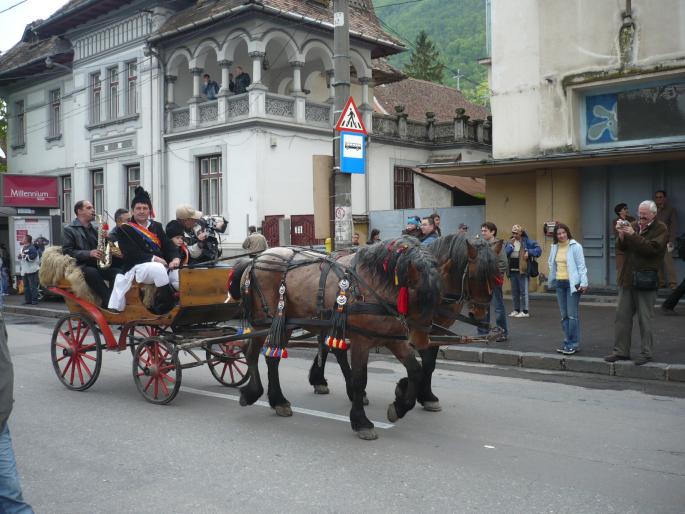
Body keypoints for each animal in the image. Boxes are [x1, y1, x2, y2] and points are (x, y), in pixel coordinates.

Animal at [230, 234, 440, 438]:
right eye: (417, 297)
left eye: (436, 299)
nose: (423, 342)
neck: (372, 285)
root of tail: (255, 259)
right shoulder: (361, 341)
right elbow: (359, 379)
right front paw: (361, 422)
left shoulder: (391, 339)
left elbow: (415, 370)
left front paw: (400, 406)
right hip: (263, 322)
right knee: (250, 354)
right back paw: (254, 393)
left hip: (284, 325)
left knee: (272, 359)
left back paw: (278, 401)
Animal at [308, 234, 496, 410]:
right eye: (475, 276)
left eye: (496, 276)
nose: (480, 312)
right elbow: (427, 363)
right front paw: (422, 395)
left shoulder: (431, 333)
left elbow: (429, 364)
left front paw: (421, 394)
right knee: (336, 350)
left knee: (328, 346)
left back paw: (320, 380)